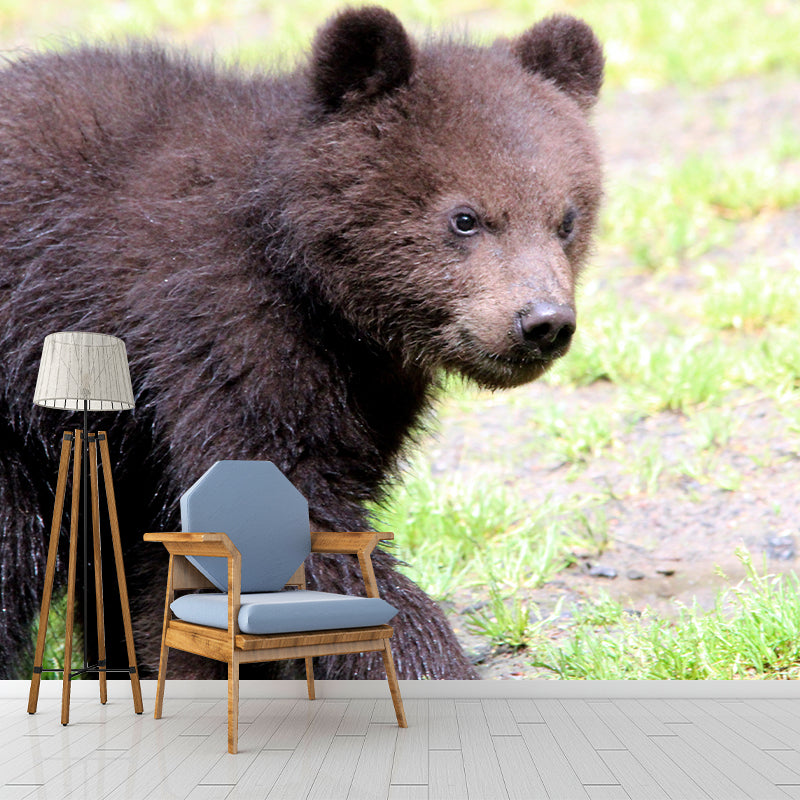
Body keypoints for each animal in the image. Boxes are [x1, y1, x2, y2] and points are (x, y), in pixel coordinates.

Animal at [0, 7, 604, 681]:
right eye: (465, 217)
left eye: (566, 219)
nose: (544, 321)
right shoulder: (221, 330)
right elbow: (292, 506)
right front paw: (428, 658)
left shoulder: (365, 387)